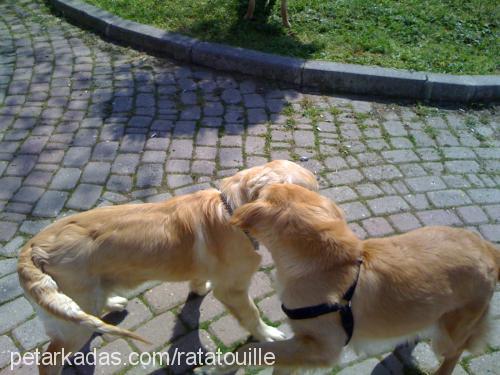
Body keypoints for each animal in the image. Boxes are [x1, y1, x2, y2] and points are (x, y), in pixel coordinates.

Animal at [17, 160, 318, 374]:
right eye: (309, 198)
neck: (230, 211)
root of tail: (31, 248)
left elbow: (198, 281)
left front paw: (200, 287)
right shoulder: (233, 291)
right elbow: (252, 315)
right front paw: (267, 335)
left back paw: (112, 303)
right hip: (73, 321)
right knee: (48, 360)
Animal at [220, 184, 500, 375]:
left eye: (258, 191)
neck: (327, 264)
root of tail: (488, 248)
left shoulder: (322, 348)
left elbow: (251, 350)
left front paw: (224, 365)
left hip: (448, 335)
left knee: (456, 351)